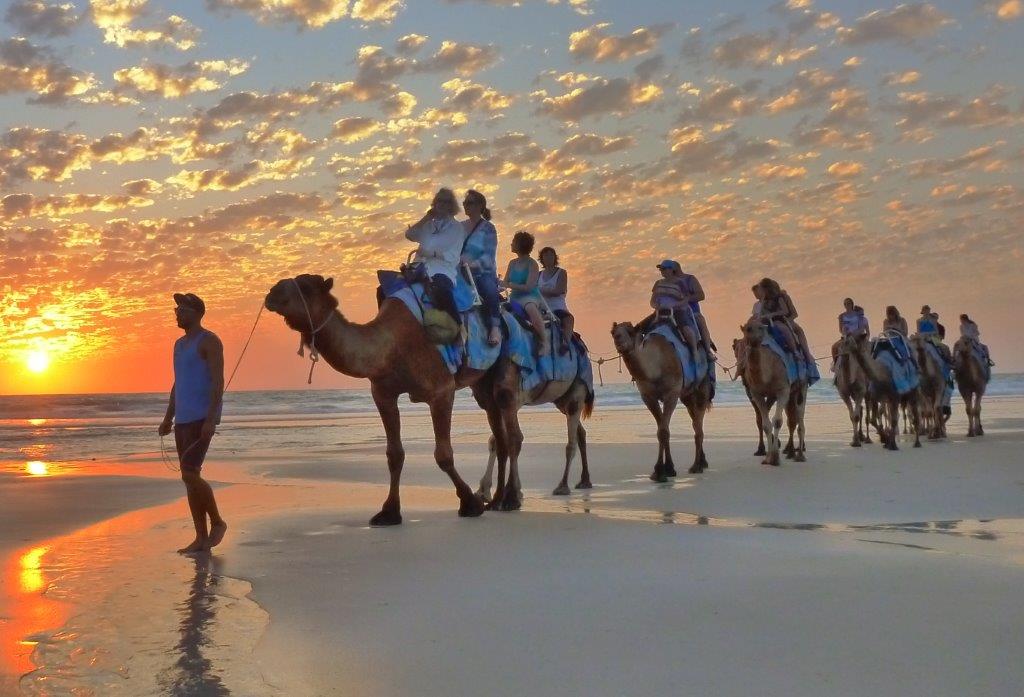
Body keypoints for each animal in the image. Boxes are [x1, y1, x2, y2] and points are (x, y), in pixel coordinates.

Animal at [264, 274, 487, 524]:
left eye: (305, 287)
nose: (272, 293)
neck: (390, 347)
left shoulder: (441, 390)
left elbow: (444, 455)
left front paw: (470, 503)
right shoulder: (383, 394)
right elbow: (394, 454)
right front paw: (389, 511)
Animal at [606, 321, 712, 481]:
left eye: (630, 331)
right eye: (613, 332)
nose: (618, 338)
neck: (656, 366)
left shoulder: (671, 394)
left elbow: (663, 431)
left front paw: (663, 471)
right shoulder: (648, 397)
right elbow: (662, 429)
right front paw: (663, 470)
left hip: (701, 387)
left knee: (698, 424)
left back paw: (696, 466)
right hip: (687, 395)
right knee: (695, 422)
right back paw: (702, 461)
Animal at [737, 319, 806, 462]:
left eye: (761, 328)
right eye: (748, 329)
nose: (758, 338)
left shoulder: (783, 389)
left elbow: (777, 421)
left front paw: (775, 457)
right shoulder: (756, 393)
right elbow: (765, 424)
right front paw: (768, 457)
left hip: (802, 385)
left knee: (800, 418)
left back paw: (800, 455)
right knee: (792, 419)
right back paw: (791, 452)